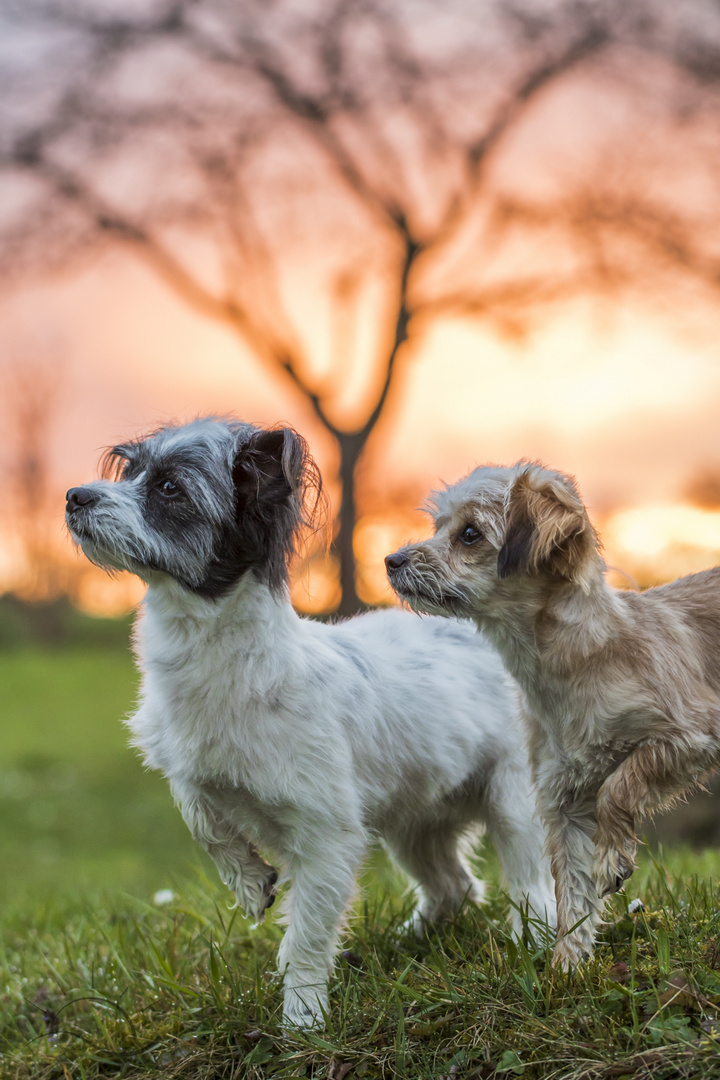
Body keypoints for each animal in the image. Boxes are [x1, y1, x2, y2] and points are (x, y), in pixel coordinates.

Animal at [64, 416, 557, 1023]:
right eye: (129, 470)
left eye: (170, 489)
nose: (74, 496)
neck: (225, 666)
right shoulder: (191, 770)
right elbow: (203, 819)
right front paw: (252, 882)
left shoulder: (327, 835)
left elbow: (306, 933)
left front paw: (303, 1017)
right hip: (413, 822)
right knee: (454, 886)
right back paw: (408, 941)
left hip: (512, 801)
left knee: (532, 882)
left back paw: (536, 942)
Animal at [386, 464, 720, 972]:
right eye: (439, 526)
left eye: (469, 534)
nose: (391, 560)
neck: (575, 664)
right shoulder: (565, 798)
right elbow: (574, 897)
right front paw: (566, 970)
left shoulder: (691, 734)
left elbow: (618, 788)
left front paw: (613, 858)